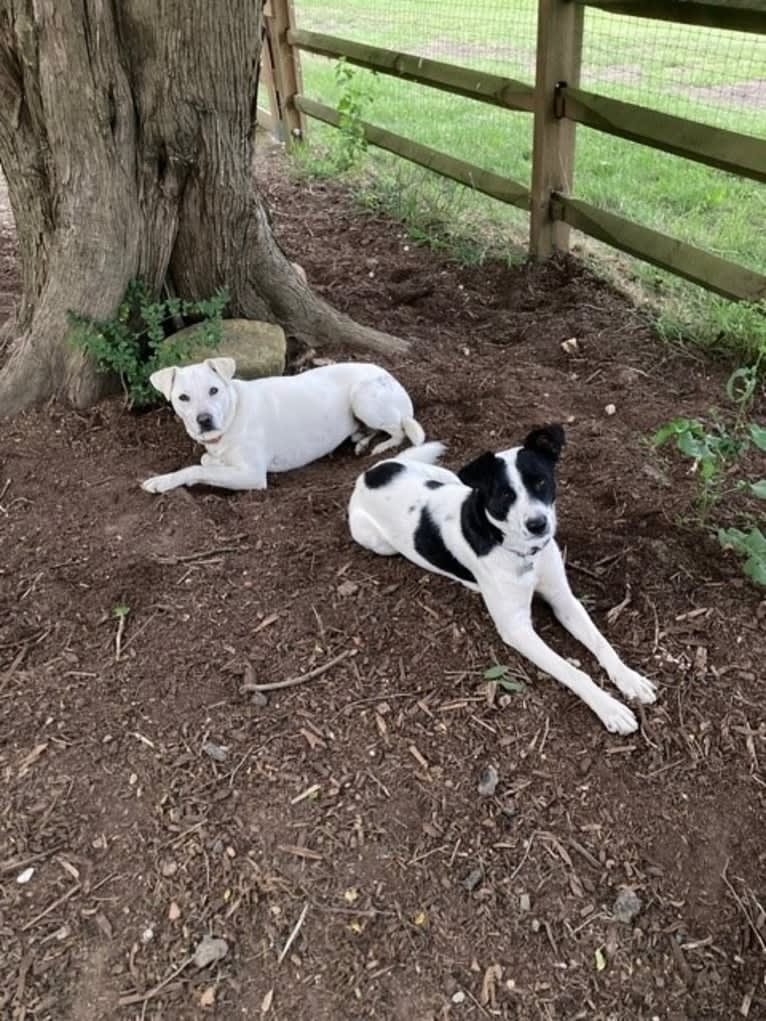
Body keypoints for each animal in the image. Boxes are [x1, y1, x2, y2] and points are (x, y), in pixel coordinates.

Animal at [142, 357, 426, 492]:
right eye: (183, 397)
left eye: (213, 390)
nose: (204, 420)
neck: (233, 413)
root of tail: (391, 377)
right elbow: (205, 461)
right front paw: (212, 460)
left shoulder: (252, 475)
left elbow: (196, 468)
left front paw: (162, 481)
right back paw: (362, 440)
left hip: (363, 398)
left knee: (399, 429)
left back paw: (380, 446)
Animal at [351, 424, 657, 735]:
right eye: (505, 495)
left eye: (540, 482)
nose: (538, 525)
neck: (523, 553)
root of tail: (369, 473)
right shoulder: (516, 628)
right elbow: (573, 671)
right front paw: (609, 707)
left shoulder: (564, 600)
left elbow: (601, 643)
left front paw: (629, 678)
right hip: (377, 541)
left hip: (449, 478)